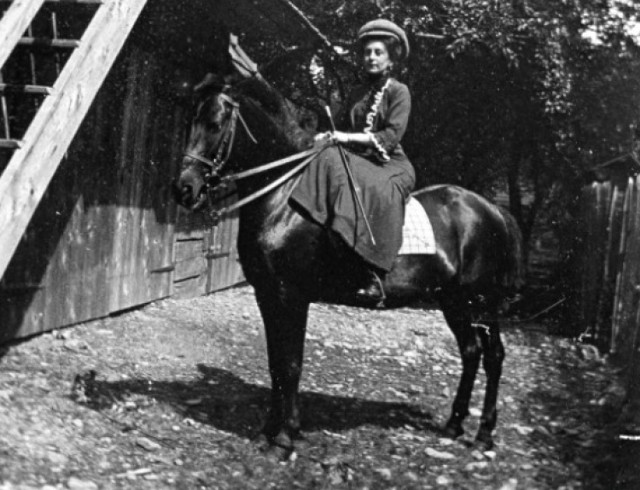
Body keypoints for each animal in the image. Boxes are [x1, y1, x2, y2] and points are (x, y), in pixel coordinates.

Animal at [172, 73, 524, 456]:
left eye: (215, 123)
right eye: (188, 121)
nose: (184, 189)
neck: (283, 198)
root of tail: (492, 211)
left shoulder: (292, 296)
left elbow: (291, 364)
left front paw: (285, 436)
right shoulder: (267, 296)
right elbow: (275, 364)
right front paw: (269, 430)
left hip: (482, 302)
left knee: (494, 356)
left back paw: (484, 434)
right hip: (453, 301)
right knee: (471, 352)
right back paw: (455, 424)